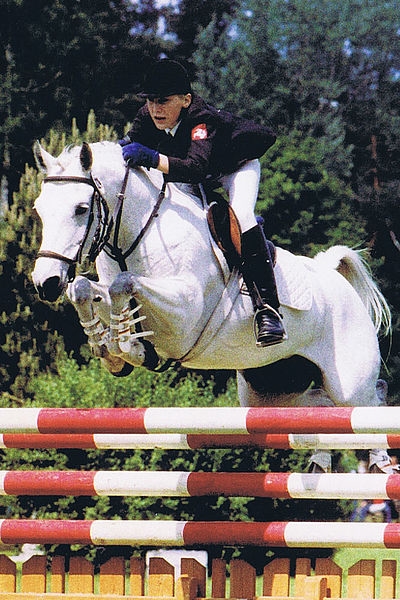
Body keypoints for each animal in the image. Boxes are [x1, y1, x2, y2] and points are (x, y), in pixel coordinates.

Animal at [31, 142, 390, 418]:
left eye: (80, 209)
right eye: (38, 210)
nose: (45, 282)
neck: (139, 232)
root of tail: (335, 279)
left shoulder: (185, 315)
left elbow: (125, 283)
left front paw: (126, 346)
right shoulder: (106, 291)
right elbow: (83, 289)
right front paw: (110, 348)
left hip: (351, 389)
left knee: (370, 403)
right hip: (272, 392)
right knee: (317, 404)